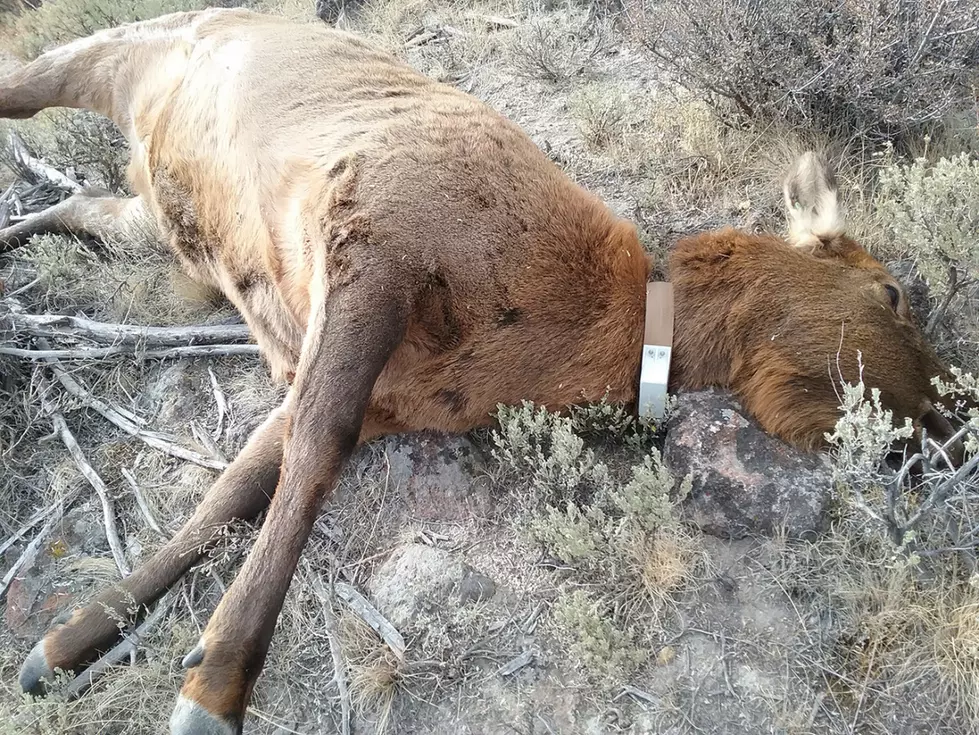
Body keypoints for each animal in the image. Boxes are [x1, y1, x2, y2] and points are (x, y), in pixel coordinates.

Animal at [0, 7, 968, 735]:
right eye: (891, 293)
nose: (955, 421)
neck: (600, 329)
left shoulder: (374, 385)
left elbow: (237, 489)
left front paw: (75, 636)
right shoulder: (375, 233)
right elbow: (313, 452)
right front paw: (216, 685)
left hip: (156, 215)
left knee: (80, 203)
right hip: (119, 50)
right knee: (25, 90)